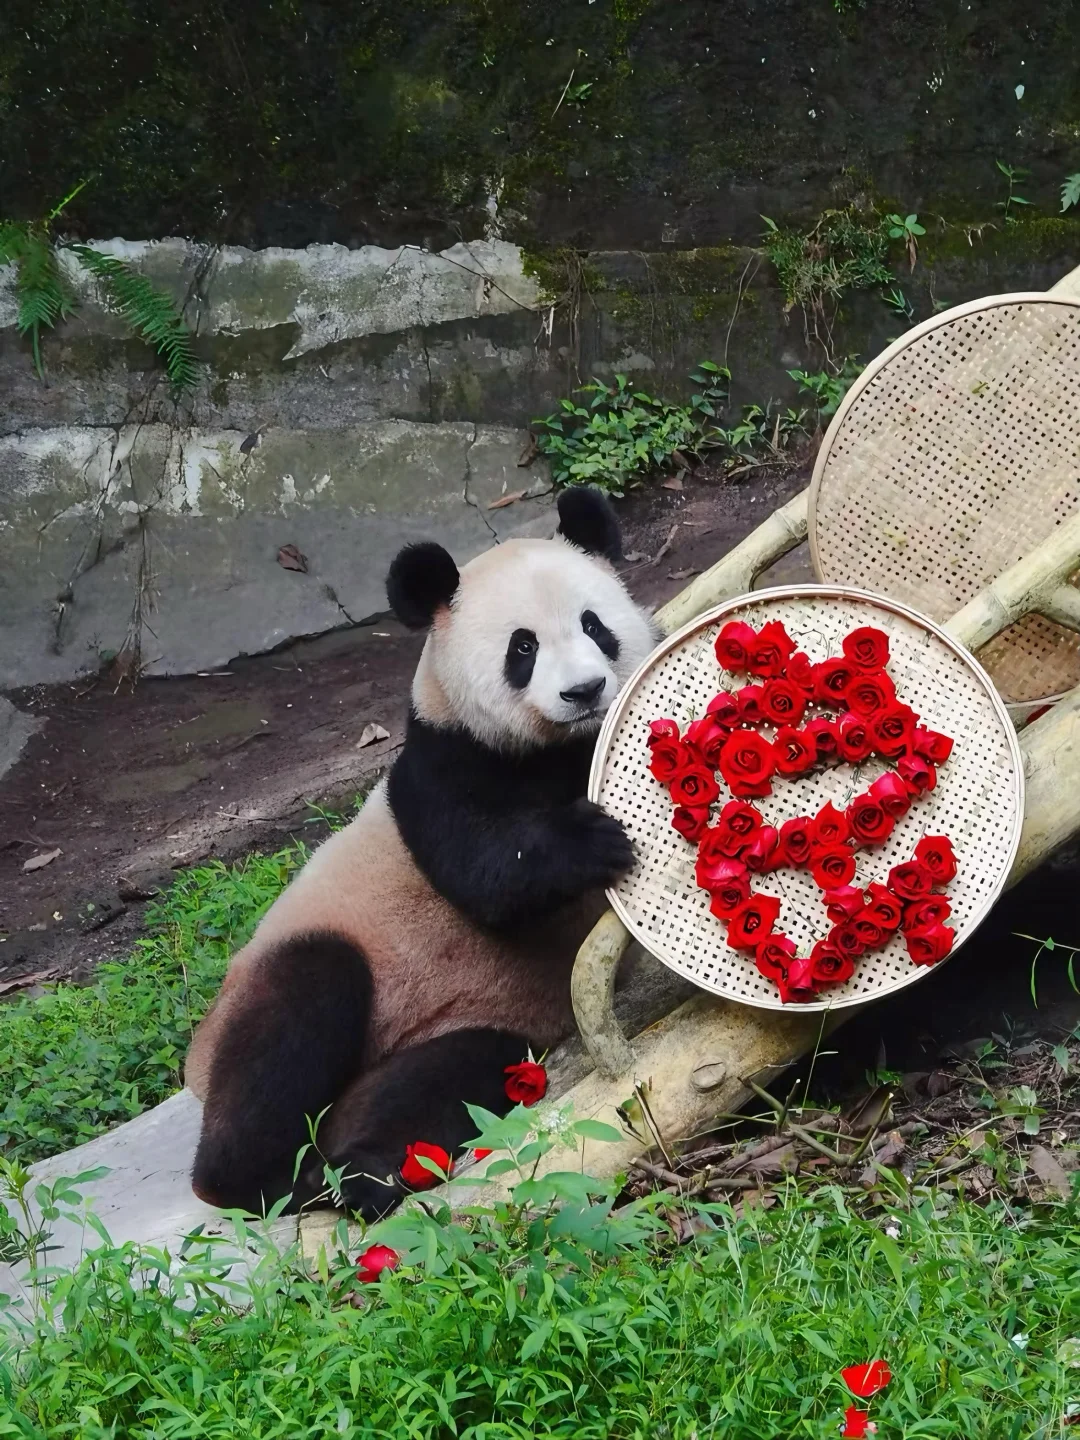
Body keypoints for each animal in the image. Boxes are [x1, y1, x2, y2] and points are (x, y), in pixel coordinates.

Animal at [184, 487, 659, 1220]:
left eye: (594, 624)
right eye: (523, 646)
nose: (583, 691)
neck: (558, 746)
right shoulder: (438, 766)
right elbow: (485, 876)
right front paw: (595, 839)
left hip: (466, 1019)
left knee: (442, 1082)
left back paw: (363, 1172)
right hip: (310, 956)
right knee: (295, 1015)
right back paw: (263, 1181)